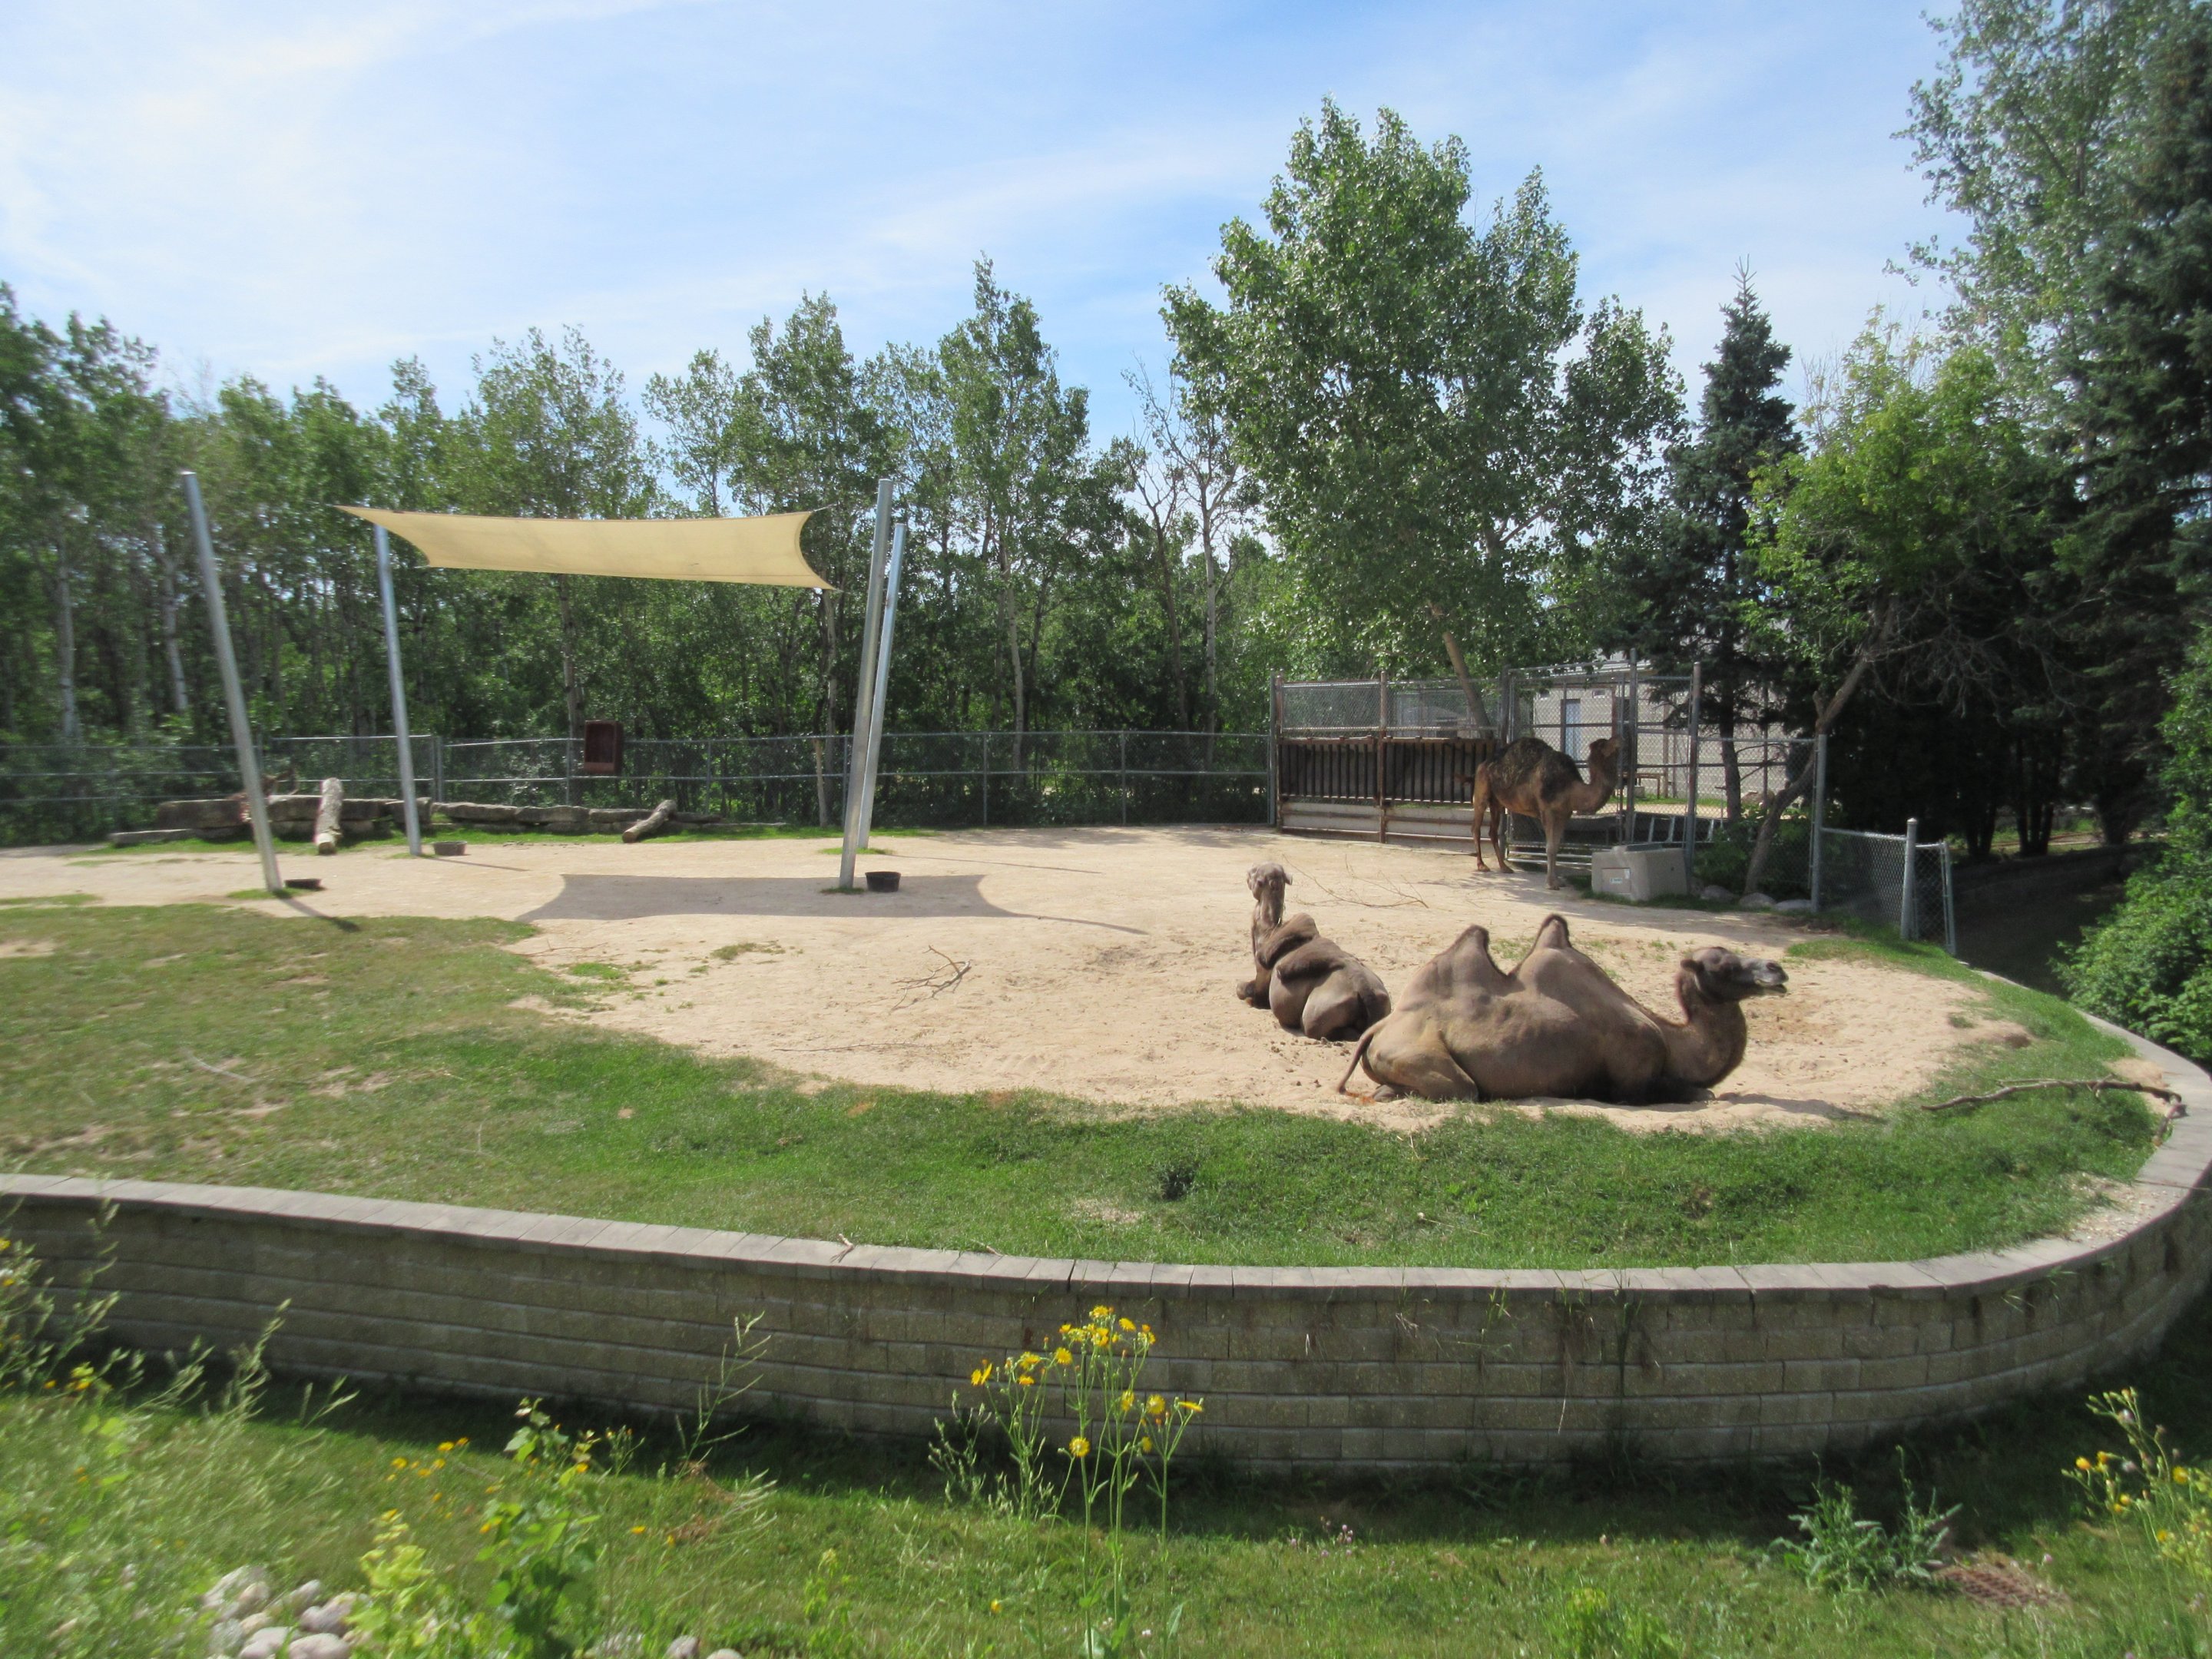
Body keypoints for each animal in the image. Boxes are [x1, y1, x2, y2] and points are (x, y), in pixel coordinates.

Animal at [1235, 862, 1393, 1041]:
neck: (1269, 932)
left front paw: (1248, 999)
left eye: (1256, 873)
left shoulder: (1262, 974)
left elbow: (1244, 990)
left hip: (1320, 1012)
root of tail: (1365, 990)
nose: (1249, 869)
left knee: (1316, 1027)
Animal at [1336, 912, 1786, 1104]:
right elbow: (1699, 1093)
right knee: (1464, 1089)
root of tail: (1378, 1030)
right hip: (1420, 1055)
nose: (1776, 969)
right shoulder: (1632, 1078)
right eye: (1724, 966)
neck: (1671, 1041)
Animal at [1465, 736, 1622, 889]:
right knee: (1476, 827)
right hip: (1482, 791)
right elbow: (1550, 847)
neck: (1571, 789)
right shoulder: (1548, 811)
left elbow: (1556, 846)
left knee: (1492, 831)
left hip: (1497, 802)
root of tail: (1482, 765)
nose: (1618, 739)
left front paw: (1558, 881)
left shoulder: (1564, 814)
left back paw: (1504, 867)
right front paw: (1551, 884)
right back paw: (1482, 865)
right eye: (1603, 744)